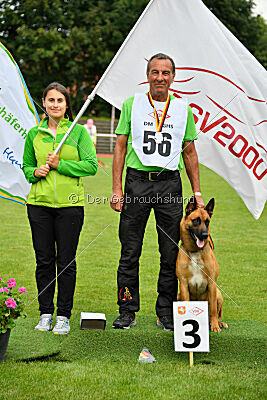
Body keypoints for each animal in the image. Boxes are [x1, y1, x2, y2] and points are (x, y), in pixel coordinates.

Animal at [177, 197, 229, 332]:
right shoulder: (183, 284)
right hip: (178, 296)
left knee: (216, 312)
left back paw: (219, 323)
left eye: (207, 222)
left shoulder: (211, 283)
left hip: (218, 294)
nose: (205, 235)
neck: (195, 251)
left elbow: (213, 310)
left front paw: (215, 326)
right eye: (196, 220)